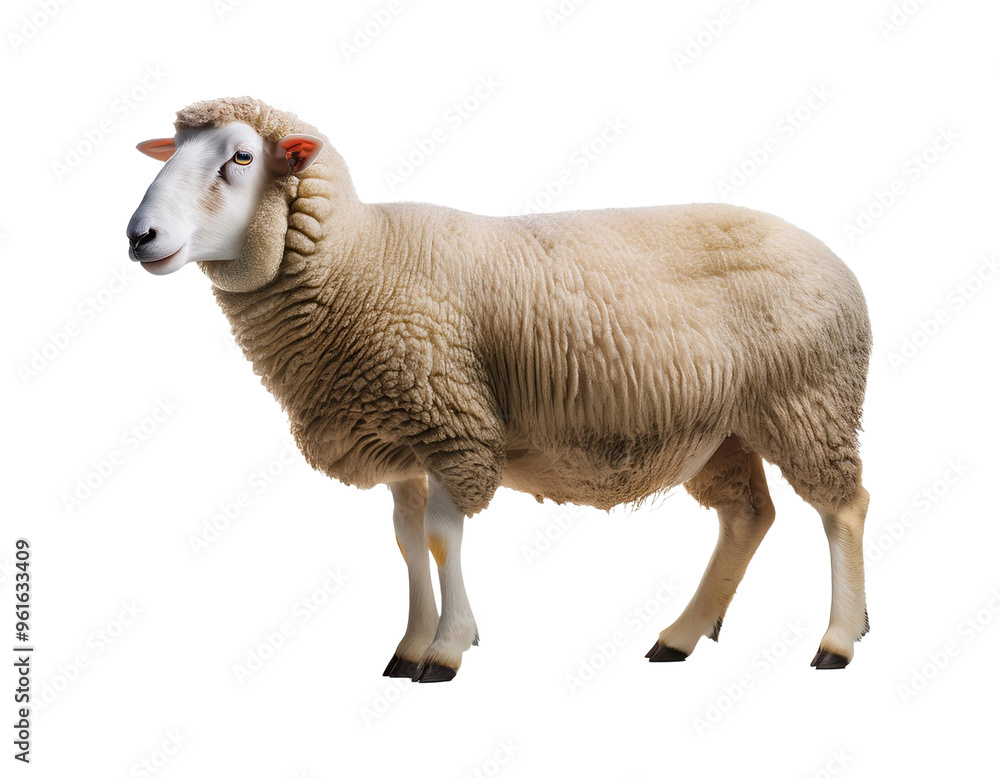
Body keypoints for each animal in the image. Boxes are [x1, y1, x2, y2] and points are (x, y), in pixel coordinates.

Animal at [127, 96, 872, 682]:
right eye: (175, 151)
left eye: (242, 157)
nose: (140, 236)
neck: (363, 261)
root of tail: (837, 262)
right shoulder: (401, 440)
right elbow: (406, 540)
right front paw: (409, 644)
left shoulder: (452, 425)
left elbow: (440, 538)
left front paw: (445, 651)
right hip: (723, 431)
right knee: (748, 515)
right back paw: (682, 636)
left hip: (809, 400)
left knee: (843, 508)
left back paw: (839, 640)